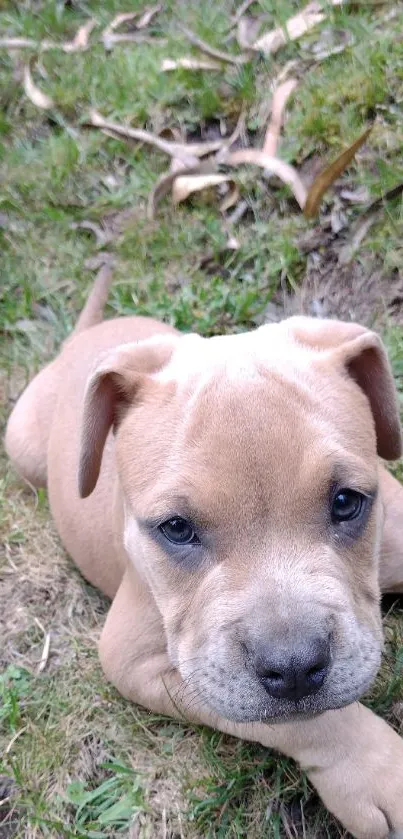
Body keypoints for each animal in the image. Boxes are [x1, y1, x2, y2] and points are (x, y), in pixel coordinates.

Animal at [4, 270, 403, 839]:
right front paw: (378, 771)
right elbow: (309, 722)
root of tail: (77, 343)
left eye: (347, 501)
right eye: (176, 529)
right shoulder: (139, 663)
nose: (294, 667)